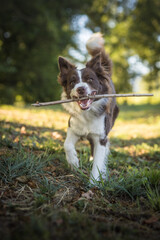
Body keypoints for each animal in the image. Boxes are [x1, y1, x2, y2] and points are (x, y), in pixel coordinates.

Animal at [57, 33, 119, 184]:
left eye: (90, 79)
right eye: (72, 82)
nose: (81, 89)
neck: (87, 113)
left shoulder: (101, 137)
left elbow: (98, 161)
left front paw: (94, 183)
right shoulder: (73, 127)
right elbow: (67, 144)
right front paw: (73, 162)